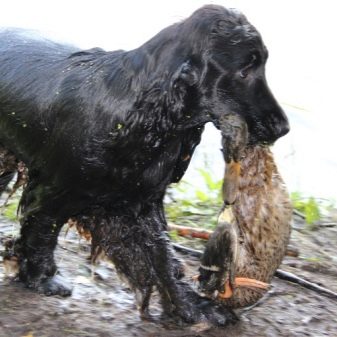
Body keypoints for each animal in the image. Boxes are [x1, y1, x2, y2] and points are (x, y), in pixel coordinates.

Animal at [0, 5, 288, 324]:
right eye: (244, 70)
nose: (283, 127)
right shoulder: (52, 190)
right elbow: (42, 234)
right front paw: (42, 279)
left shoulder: (142, 200)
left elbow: (161, 254)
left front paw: (190, 306)